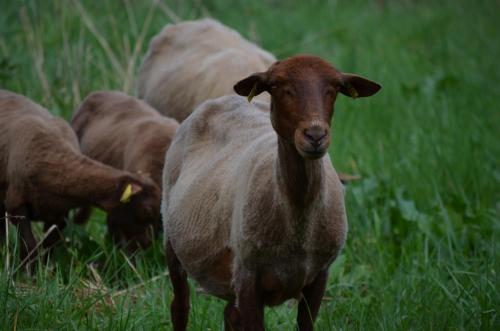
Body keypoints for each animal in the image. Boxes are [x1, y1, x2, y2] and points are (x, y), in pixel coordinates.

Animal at [0, 90, 159, 262]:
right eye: (147, 210)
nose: (147, 244)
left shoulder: (59, 214)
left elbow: (50, 244)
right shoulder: (16, 205)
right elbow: (29, 246)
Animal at [162, 54, 380, 330]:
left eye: (335, 88)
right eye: (276, 86)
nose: (315, 135)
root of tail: (223, 99)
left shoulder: (319, 277)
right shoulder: (248, 277)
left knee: (229, 315)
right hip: (173, 242)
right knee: (179, 307)